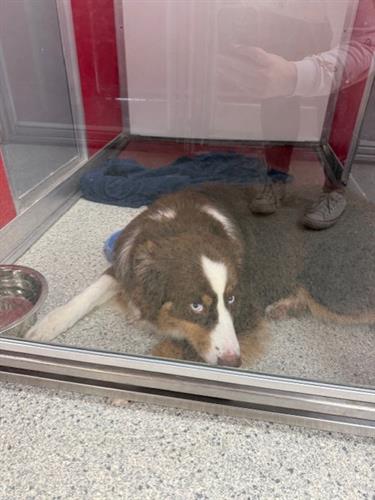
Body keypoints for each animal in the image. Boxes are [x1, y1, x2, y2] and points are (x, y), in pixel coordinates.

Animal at [25, 182, 375, 366]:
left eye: (231, 299)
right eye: (196, 305)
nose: (235, 362)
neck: (182, 222)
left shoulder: (246, 310)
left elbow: (176, 347)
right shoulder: (126, 263)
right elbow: (88, 293)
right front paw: (46, 325)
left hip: (333, 289)